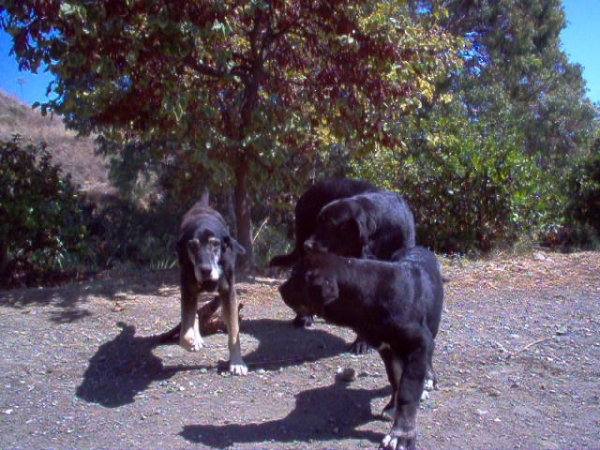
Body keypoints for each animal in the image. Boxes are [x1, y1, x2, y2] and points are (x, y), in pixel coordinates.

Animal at [169, 193, 246, 376]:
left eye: (215, 244)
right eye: (192, 245)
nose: (205, 270)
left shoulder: (228, 292)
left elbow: (234, 332)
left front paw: (237, 363)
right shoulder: (187, 290)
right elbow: (184, 334)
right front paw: (192, 340)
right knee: (194, 314)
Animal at [278, 248, 442, 448]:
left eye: (295, 276)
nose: (280, 289)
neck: (372, 294)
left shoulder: (418, 345)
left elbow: (407, 392)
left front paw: (402, 434)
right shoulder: (386, 349)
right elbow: (396, 380)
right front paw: (392, 407)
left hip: (431, 330)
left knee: (429, 358)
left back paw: (428, 380)